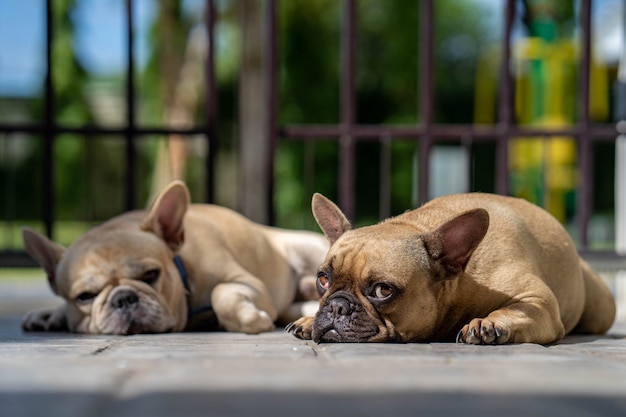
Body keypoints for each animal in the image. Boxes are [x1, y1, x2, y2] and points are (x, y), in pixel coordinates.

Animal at [21, 180, 326, 334]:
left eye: (151, 275)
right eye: (84, 296)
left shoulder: (251, 284)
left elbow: (221, 292)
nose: (123, 298)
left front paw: (249, 319)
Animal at [286, 193, 616, 342]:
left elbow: (513, 310)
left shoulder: (538, 301)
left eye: (382, 291)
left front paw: (489, 323)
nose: (337, 306)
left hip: (601, 309)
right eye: (323, 280)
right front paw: (308, 320)